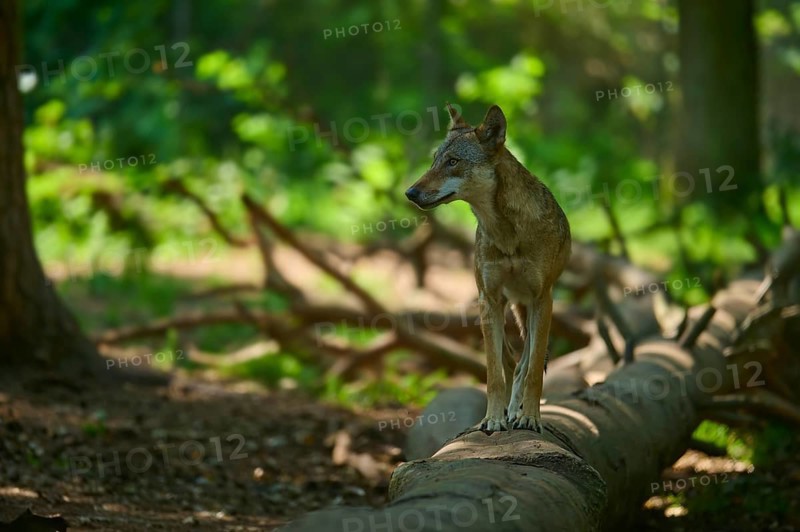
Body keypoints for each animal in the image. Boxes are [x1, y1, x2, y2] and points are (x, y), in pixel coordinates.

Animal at [405, 103, 571, 431]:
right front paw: (493, 419)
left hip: (531, 309)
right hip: (505, 306)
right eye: (434, 161)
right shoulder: (488, 299)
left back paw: (518, 412)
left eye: (453, 162)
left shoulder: (542, 299)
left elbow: (533, 371)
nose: (410, 193)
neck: (507, 234)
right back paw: (508, 411)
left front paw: (530, 417)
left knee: (523, 363)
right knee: (509, 361)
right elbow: (494, 374)